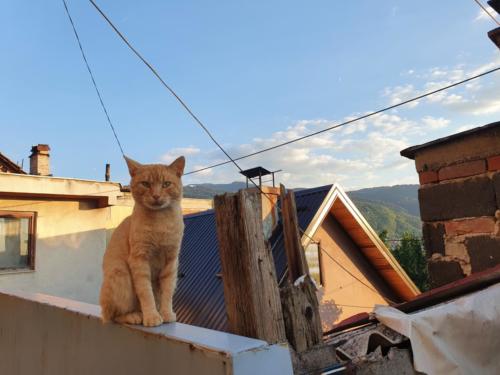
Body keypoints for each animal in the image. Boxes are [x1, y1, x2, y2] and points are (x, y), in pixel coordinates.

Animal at [99, 155, 186, 326]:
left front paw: (166, 313)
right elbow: (146, 292)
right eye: (146, 184)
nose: (156, 196)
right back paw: (135, 315)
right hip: (121, 277)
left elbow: (167, 293)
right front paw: (151, 316)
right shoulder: (139, 260)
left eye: (166, 184)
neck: (160, 222)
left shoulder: (171, 262)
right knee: (114, 315)